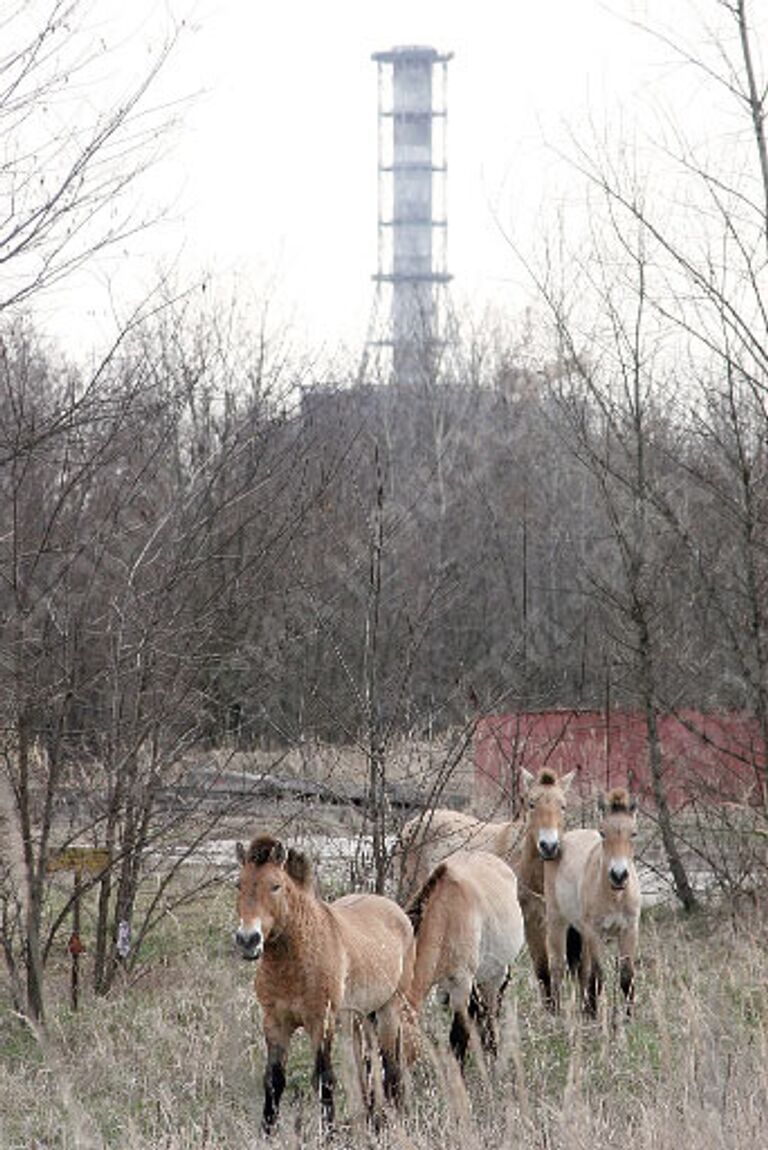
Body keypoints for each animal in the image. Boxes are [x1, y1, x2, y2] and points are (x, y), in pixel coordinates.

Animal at [234, 837, 413, 1131]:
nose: (248, 940)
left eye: (275, 885)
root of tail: (396, 910)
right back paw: (372, 1120)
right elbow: (273, 1080)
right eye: (238, 884)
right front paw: (266, 1132)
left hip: (389, 1009)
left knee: (391, 1067)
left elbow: (324, 1079)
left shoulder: (321, 1021)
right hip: (359, 1018)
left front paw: (328, 1133)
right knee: (367, 1067)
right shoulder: (275, 1022)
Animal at [400, 768, 572, 1012]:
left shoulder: (543, 920)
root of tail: (411, 824)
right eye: (531, 804)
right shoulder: (523, 921)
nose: (549, 846)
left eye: (562, 806)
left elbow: (549, 969)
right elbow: (531, 972)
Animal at [544, 791, 643, 1016]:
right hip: (558, 922)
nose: (618, 875)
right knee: (558, 967)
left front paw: (630, 1017)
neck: (615, 895)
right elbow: (598, 976)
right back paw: (556, 1011)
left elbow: (627, 976)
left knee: (583, 970)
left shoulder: (629, 930)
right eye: (603, 833)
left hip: (583, 933)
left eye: (633, 834)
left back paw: (585, 1008)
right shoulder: (595, 932)